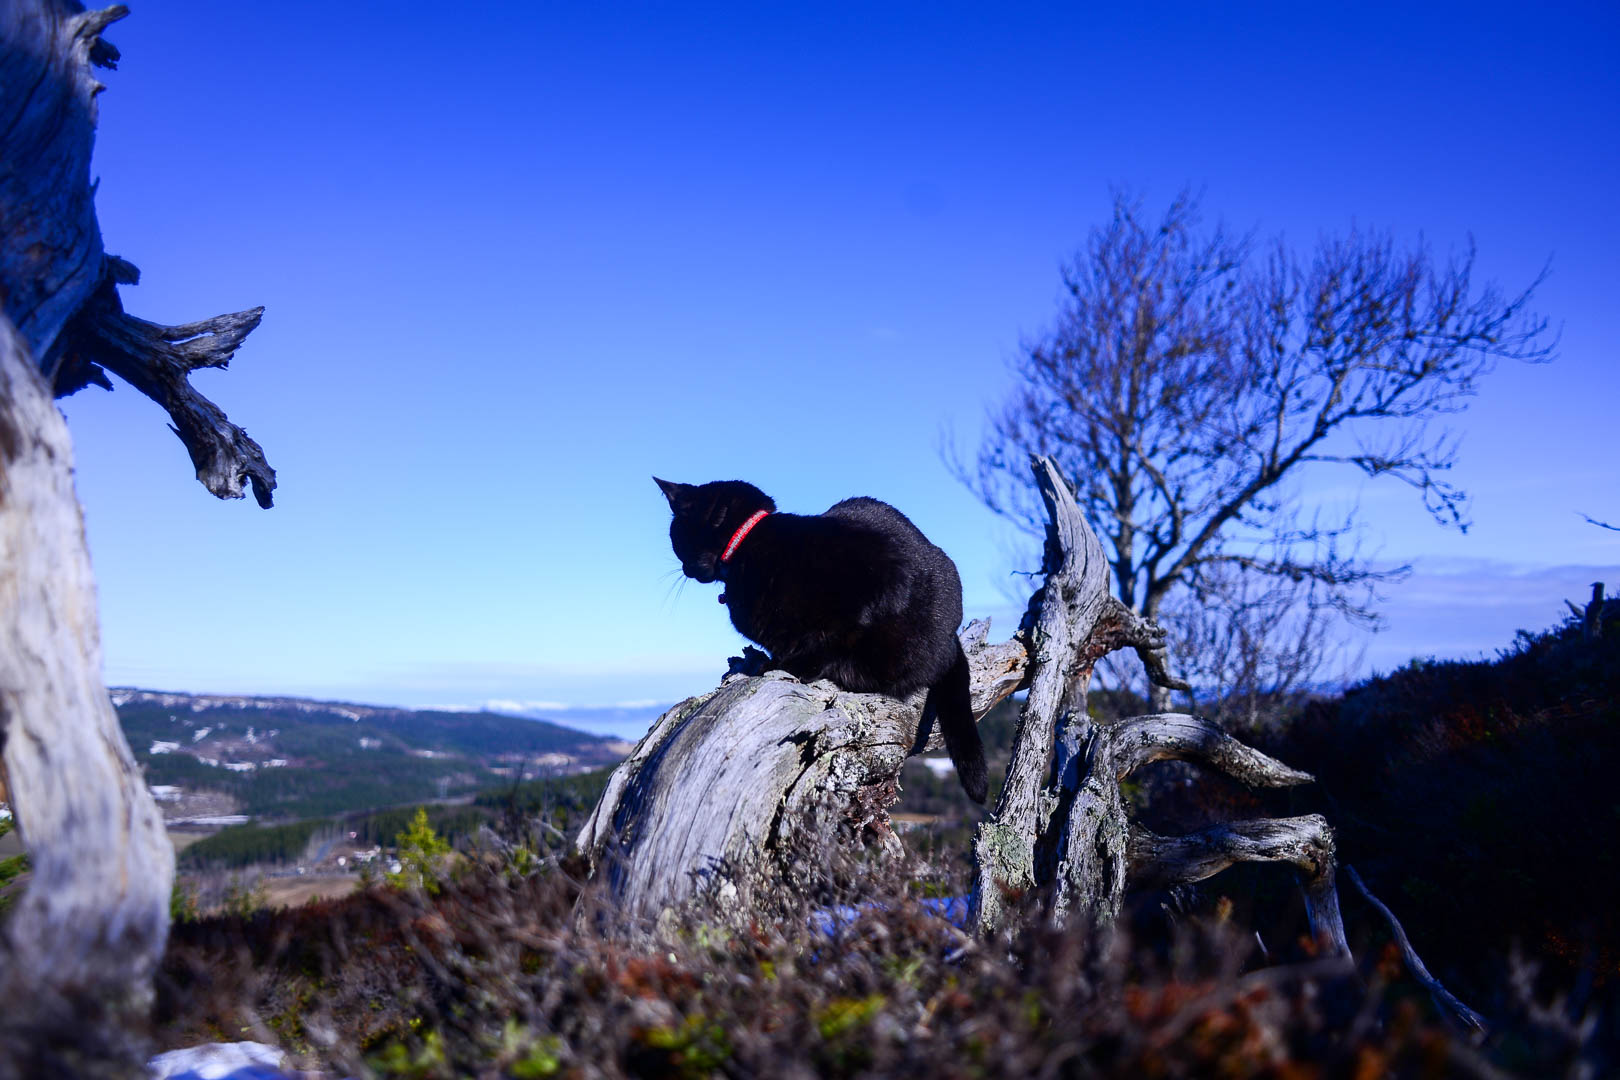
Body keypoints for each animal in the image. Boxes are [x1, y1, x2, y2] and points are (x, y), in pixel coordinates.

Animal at [654, 476, 989, 803]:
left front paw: (786, 667)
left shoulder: (878, 587)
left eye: (675, 540)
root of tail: (952, 641)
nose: (684, 569)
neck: (750, 545)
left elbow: (828, 643)